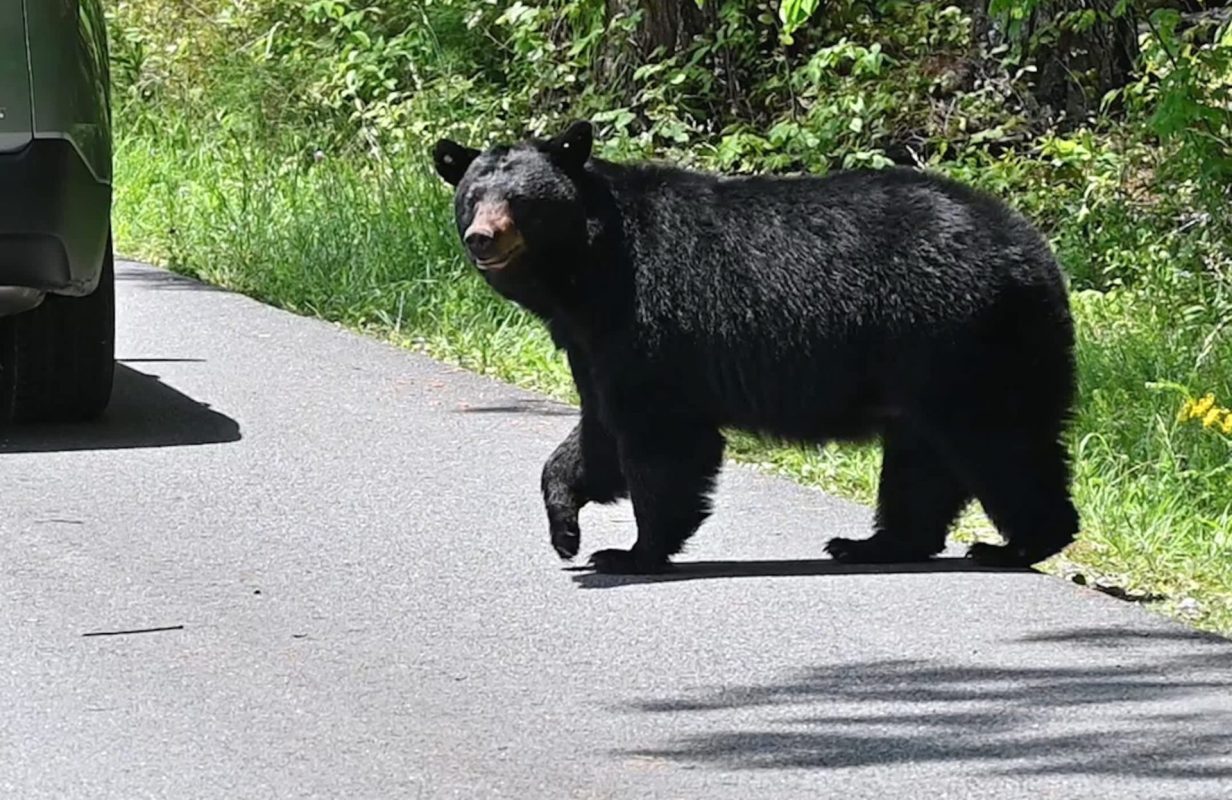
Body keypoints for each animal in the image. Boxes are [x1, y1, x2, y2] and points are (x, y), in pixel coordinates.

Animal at [431, 119, 1079, 575]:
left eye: (523, 201)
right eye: (472, 196)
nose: (482, 237)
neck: (586, 276)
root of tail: (1035, 252)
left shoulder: (648, 319)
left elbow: (660, 437)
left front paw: (633, 552)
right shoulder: (591, 343)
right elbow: (598, 432)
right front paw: (566, 528)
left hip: (962, 341)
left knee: (999, 442)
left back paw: (1016, 543)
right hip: (927, 362)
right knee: (922, 458)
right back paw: (873, 542)